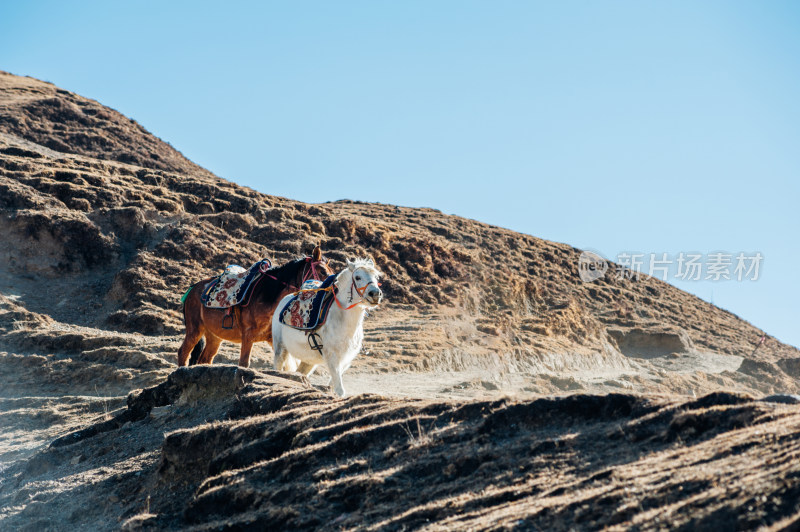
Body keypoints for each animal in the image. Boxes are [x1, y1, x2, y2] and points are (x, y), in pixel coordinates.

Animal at [177, 246, 332, 368]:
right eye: (323, 271)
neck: (267, 297)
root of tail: (192, 289)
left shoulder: (272, 340)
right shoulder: (248, 336)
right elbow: (244, 363)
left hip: (214, 336)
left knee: (205, 359)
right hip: (195, 329)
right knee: (183, 353)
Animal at [272, 258, 384, 394]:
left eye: (376, 277)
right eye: (357, 277)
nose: (375, 294)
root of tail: (283, 301)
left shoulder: (345, 361)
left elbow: (333, 386)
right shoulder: (332, 358)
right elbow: (340, 390)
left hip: (309, 361)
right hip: (280, 349)